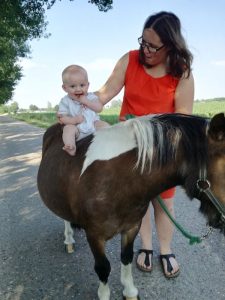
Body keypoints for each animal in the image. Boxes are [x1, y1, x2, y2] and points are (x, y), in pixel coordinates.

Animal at [37, 113, 225, 300]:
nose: (220, 222)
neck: (117, 180)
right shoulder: (94, 235)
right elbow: (103, 267)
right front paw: (104, 294)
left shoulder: (132, 227)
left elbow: (126, 257)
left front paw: (129, 291)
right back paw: (69, 239)